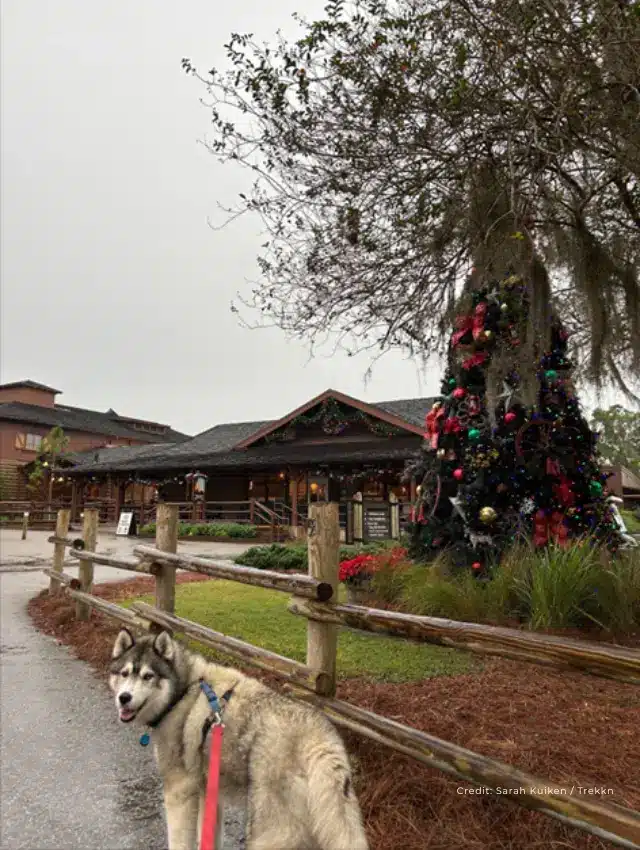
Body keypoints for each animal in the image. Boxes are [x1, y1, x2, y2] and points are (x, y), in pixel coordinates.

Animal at [110, 628, 370, 844]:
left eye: (148, 676)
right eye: (124, 673)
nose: (124, 698)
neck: (184, 690)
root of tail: (318, 739)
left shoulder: (179, 792)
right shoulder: (208, 792)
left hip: (269, 832)